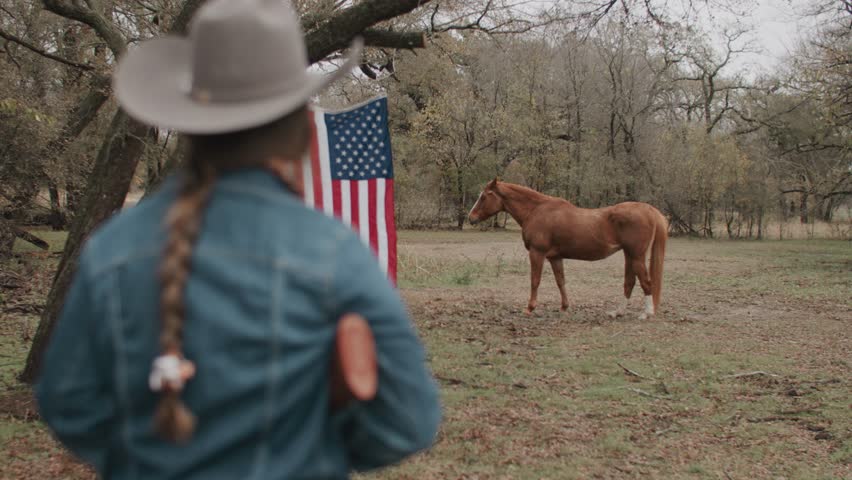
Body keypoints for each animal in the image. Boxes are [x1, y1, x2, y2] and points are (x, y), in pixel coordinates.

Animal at [468, 179, 668, 320]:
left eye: (484, 196)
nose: (471, 218)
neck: (537, 210)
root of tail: (648, 210)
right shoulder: (555, 257)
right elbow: (561, 281)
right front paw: (564, 306)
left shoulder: (537, 253)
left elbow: (535, 281)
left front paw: (530, 307)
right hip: (629, 255)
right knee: (629, 282)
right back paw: (617, 312)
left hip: (636, 256)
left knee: (646, 282)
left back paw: (646, 313)